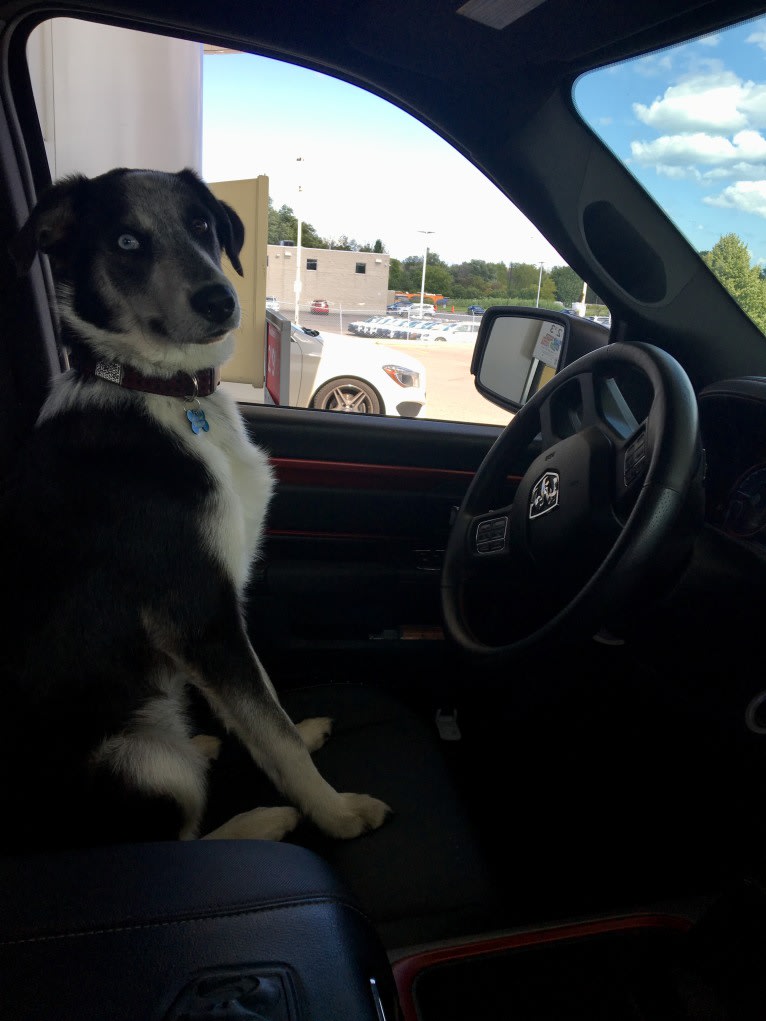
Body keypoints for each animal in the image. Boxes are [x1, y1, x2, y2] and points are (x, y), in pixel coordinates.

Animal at [0, 167, 386, 849]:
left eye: (202, 224)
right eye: (126, 242)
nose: (220, 301)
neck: (163, 390)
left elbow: (266, 707)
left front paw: (300, 734)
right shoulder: (198, 610)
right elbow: (272, 731)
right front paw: (335, 811)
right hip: (142, 759)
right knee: (172, 841)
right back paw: (262, 820)